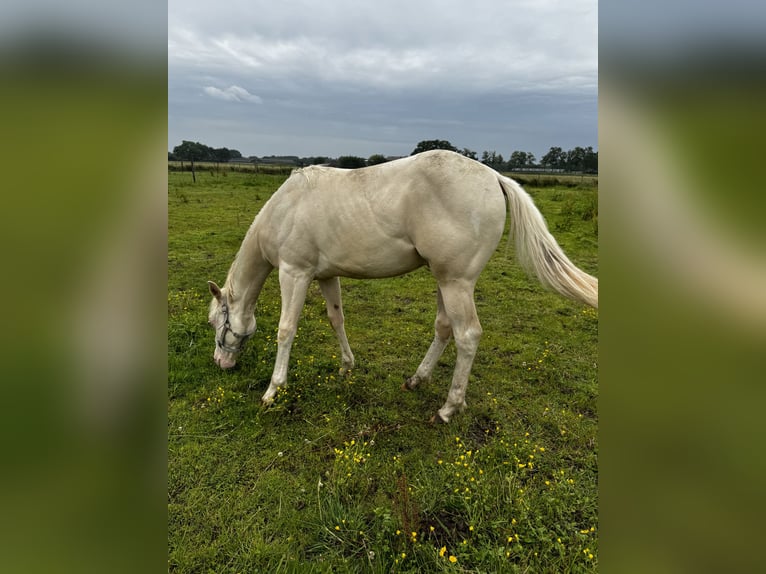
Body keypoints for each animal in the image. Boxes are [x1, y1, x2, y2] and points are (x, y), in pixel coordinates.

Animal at [208, 151, 600, 426]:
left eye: (215, 323)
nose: (220, 363)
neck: (286, 207)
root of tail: (495, 177)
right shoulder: (326, 276)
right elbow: (337, 320)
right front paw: (346, 367)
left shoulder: (295, 273)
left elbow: (286, 330)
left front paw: (273, 390)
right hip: (444, 281)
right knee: (445, 328)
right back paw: (417, 380)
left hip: (456, 283)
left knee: (468, 335)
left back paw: (448, 409)